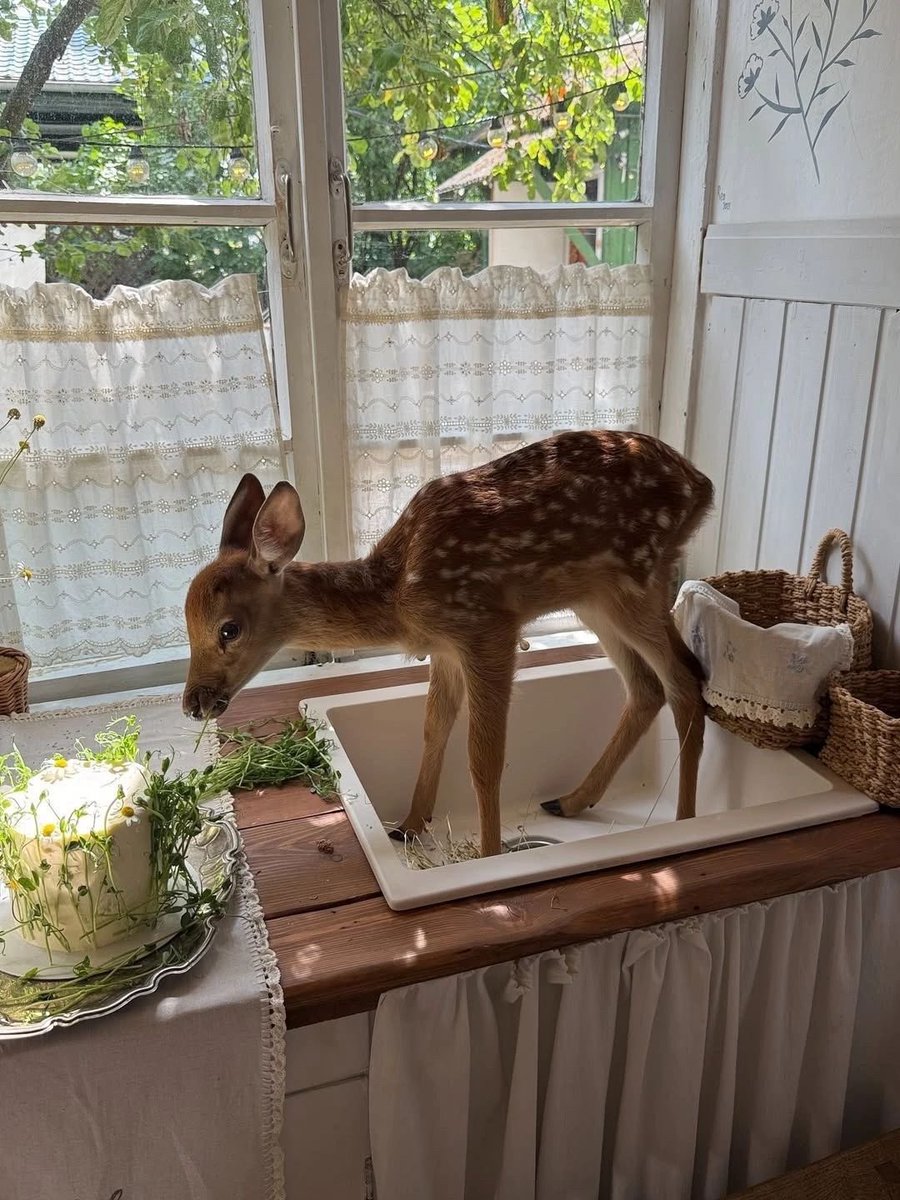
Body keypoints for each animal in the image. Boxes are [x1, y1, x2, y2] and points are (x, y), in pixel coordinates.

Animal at [183, 430, 714, 858]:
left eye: (229, 629)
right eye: (187, 624)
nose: (193, 703)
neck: (399, 594)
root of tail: (702, 486)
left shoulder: (485, 627)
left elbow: (484, 758)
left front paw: (489, 855)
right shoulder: (444, 647)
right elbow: (433, 727)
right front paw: (409, 825)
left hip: (637, 578)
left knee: (687, 679)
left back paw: (686, 821)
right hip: (596, 598)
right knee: (648, 686)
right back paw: (571, 800)